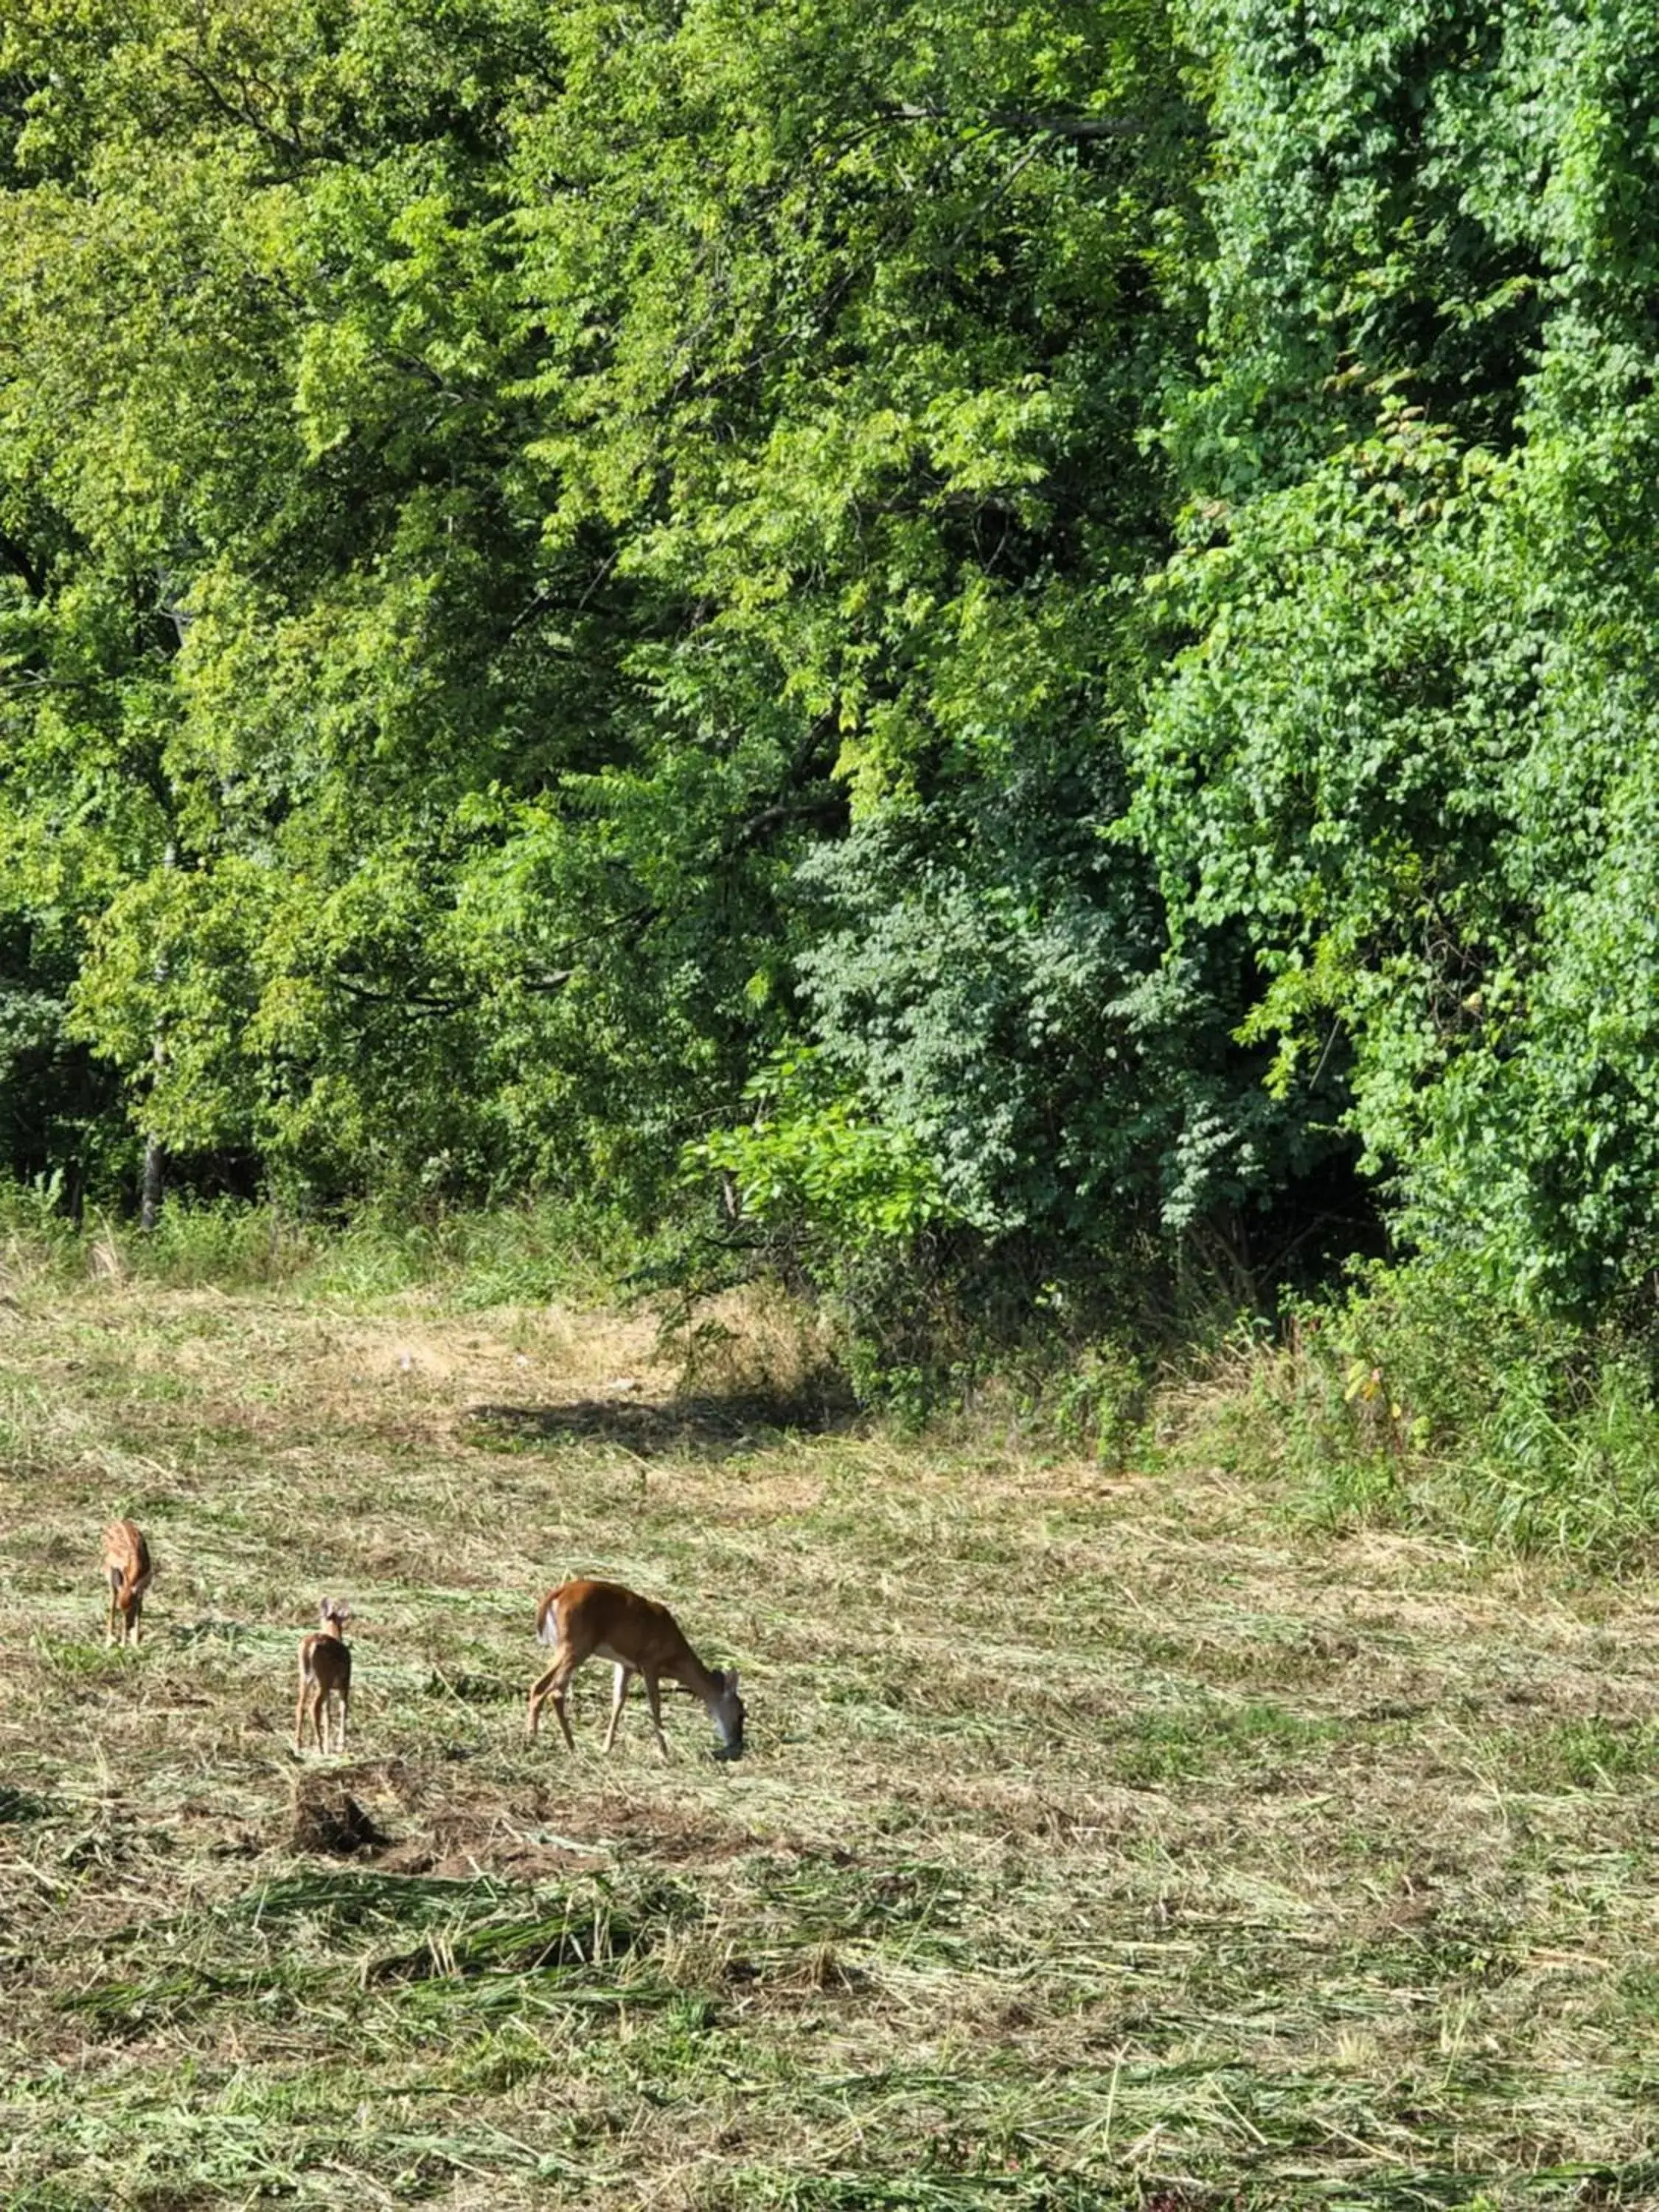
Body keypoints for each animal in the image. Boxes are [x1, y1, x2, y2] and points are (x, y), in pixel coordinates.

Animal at [102, 1522, 155, 1646]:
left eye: (131, 1607)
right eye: (120, 1609)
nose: (124, 1643)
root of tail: (118, 1521)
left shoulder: (142, 1587)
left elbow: (140, 1609)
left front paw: (135, 1641)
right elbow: (112, 1605)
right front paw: (111, 1641)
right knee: (112, 1601)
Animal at [294, 1601, 352, 1752]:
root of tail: (310, 1645)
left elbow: (328, 1714)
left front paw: (328, 1745)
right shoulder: (345, 1682)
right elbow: (343, 1708)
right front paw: (340, 1744)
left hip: (305, 1677)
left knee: (300, 1705)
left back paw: (298, 1743)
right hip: (324, 1679)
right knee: (313, 1707)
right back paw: (319, 1744)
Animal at [526, 1575, 748, 1761]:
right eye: (741, 1713)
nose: (738, 1745)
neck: (674, 1655)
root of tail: (559, 1593)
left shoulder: (626, 1664)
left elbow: (619, 1699)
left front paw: (606, 1748)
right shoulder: (650, 1662)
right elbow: (655, 1704)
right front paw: (665, 1753)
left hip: (568, 1647)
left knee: (550, 1689)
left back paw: (552, 1741)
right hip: (576, 1645)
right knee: (547, 1689)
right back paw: (545, 1741)